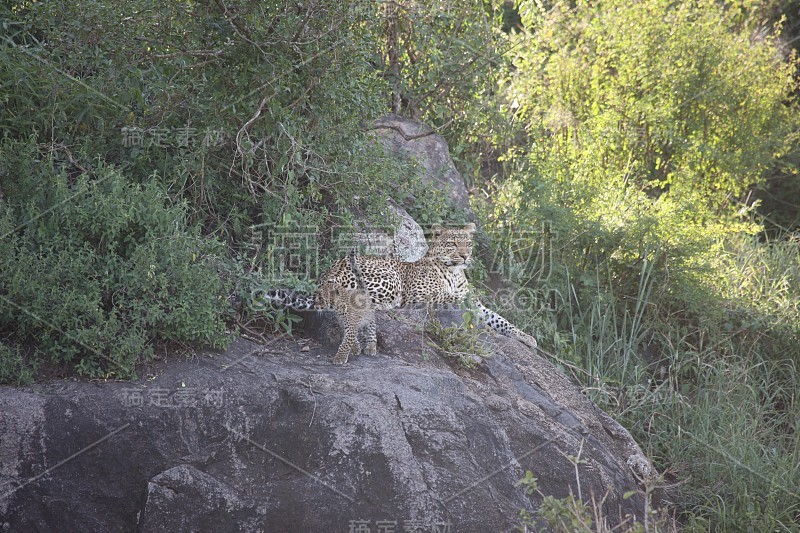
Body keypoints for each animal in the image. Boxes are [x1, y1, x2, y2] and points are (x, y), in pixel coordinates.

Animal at [268, 222, 536, 352]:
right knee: (366, 304)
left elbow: (499, 319)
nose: (465, 256)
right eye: (452, 243)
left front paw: (527, 338)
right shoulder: (421, 294)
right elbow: (447, 298)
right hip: (389, 278)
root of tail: (324, 277)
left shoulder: (477, 305)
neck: (454, 272)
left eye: (468, 243)